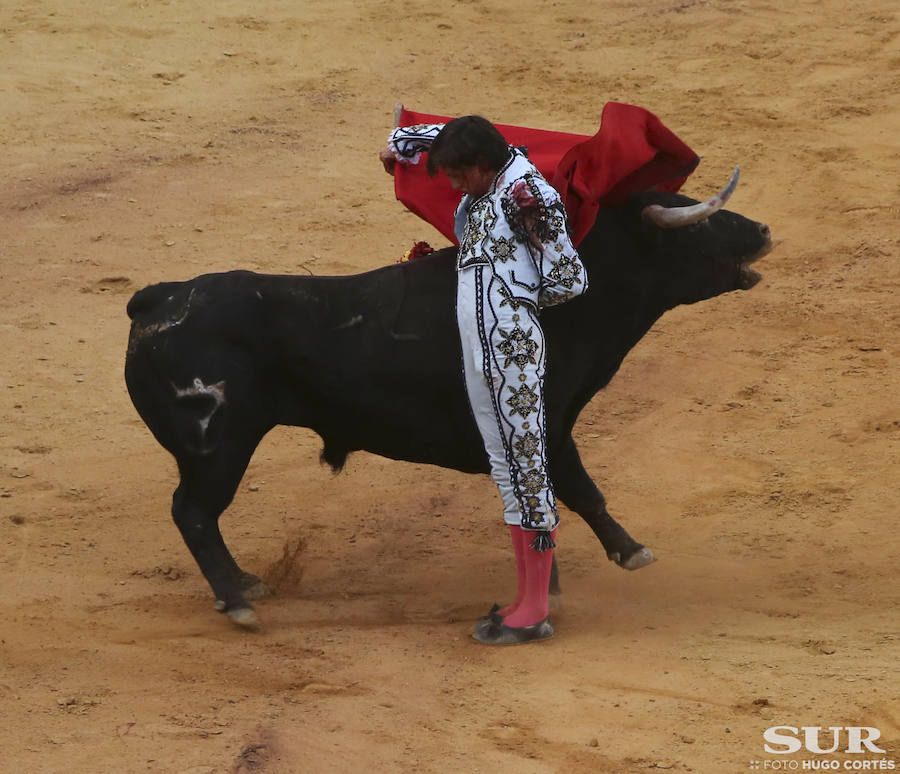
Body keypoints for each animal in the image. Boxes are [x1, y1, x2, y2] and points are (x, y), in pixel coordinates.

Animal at [123, 186, 768, 632]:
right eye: (700, 220)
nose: (762, 228)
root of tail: (159, 299)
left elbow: (550, 502)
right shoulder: (547, 427)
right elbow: (577, 494)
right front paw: (625, 556)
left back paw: (245, 585)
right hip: (217, 447)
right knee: (193, 513)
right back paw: (237, 603)